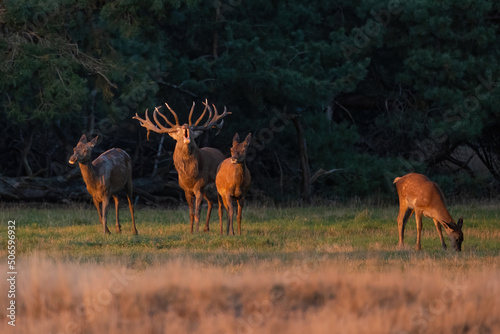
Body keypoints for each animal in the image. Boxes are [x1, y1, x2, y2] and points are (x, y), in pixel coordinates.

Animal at [131, 100, 229, 234]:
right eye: (177, 130)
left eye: (192, 128)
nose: (185, 126)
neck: (189, 175)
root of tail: (221, 153)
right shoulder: (186, 189)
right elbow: (191, 213)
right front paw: (192, 231)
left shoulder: (199, 185)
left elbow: (197, 212)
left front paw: (196, 231)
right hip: (206, 189)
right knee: (211, 202)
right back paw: (206, 228)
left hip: (217, 184)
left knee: (220, 206)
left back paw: (221, 230)